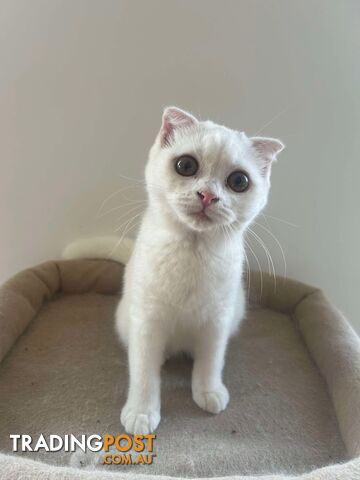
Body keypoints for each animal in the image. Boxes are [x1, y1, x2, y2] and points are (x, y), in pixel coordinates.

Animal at [64, 108, 284, 436]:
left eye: (239, 181)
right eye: (186, 165)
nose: (207, 195)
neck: (192, 254)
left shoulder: (217, 321)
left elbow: (210, 361)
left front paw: (208, 391)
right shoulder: (146, 321)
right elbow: (144, 372)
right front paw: (142, 413)